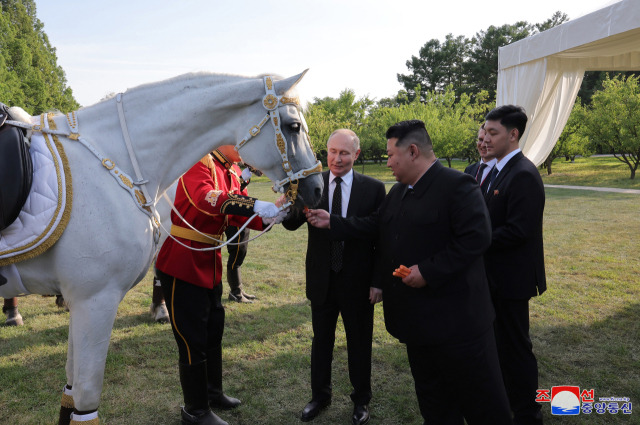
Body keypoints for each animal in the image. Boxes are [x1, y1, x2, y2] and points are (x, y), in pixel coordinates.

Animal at [0, 71, 320, 422]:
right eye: (294, 126)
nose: (317, 189)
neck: (119, 161)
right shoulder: (94, 299)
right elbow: (86, 395)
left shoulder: (83, 299)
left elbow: (70, 389)